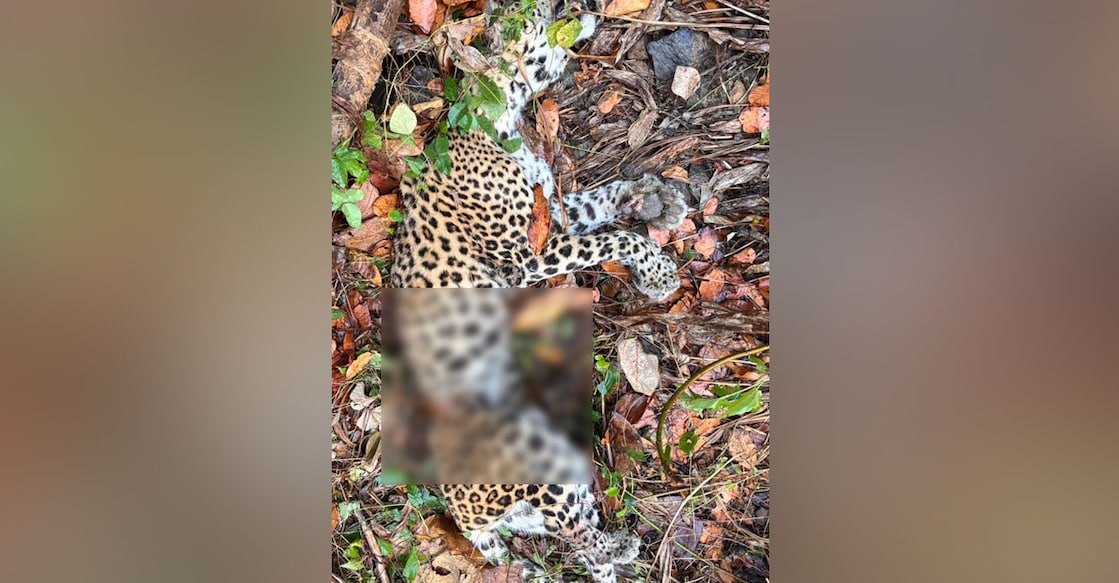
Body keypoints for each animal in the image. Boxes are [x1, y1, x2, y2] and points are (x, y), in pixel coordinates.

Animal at [385, 1, 688, 581]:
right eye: (525, 17)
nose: (572, 8)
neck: (501, 119)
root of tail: (459, 512)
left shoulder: (552, 212)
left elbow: (606, 200)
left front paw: (657, 199)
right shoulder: (528, 255)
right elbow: (612, 238)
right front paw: (658, 272)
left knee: (574, 528)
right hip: (528, 455)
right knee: (576, 535)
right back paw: (622, 547)